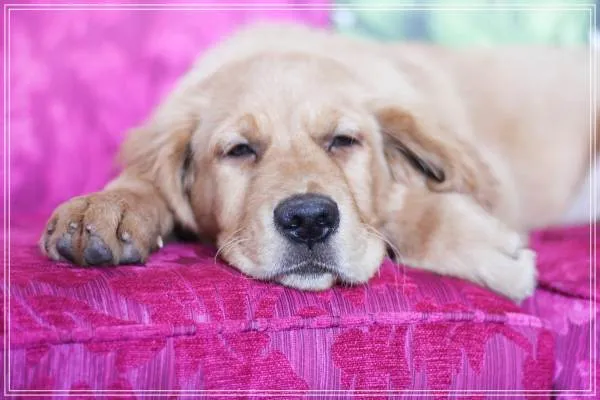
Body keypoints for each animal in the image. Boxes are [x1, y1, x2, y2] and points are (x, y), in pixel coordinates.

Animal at [39, 23, 598, 302]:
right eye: (240, 150)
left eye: (342, 141)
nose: (309, 220)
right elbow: (144, 177)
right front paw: (106, 207)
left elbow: (394, 206)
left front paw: (483, 248)